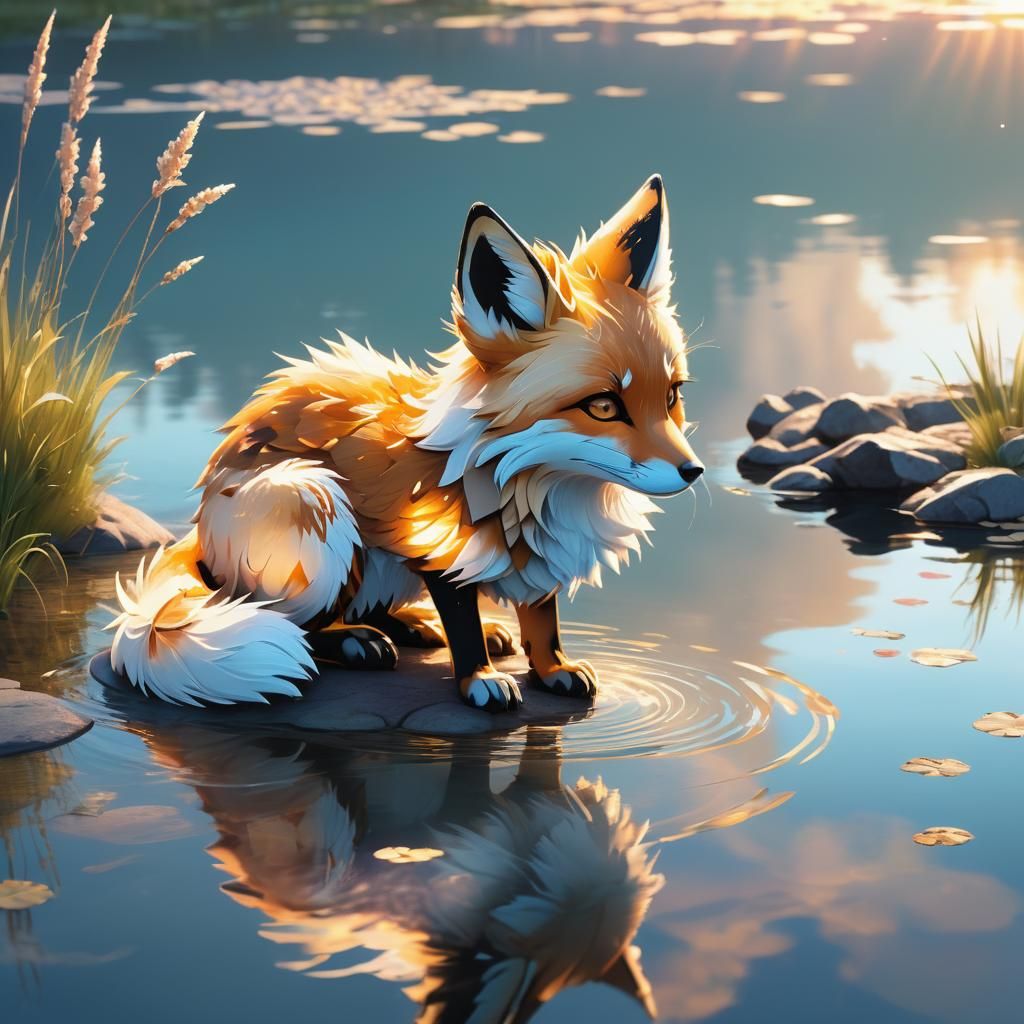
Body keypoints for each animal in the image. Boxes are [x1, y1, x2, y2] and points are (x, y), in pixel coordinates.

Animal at [108, 174, 703, 711]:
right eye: (603, 406)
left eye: (672, 396)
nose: (693, 472)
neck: (532, 486)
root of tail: (201, 522)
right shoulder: (437, 546)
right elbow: (463, 625)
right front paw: (480, 681)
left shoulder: (537, 560)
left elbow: (542, 623)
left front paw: (552, 669)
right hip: (315, 505)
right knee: (292, 624)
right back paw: (354, 642)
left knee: (365, 608)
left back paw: (414, 625)